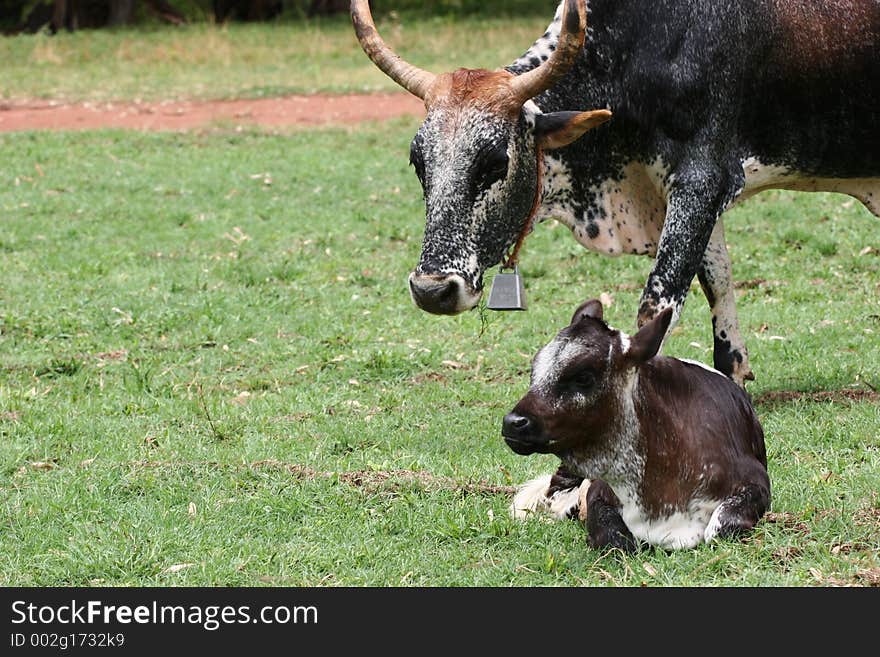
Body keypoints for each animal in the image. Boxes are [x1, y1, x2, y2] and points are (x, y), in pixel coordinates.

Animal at [350, 0, 880, 384]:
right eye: (418, 163)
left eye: (495, 162)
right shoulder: (683, 193)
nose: (432, 289)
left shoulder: (702, 179)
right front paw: (733, 369)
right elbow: (718, 278)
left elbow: (658, 304)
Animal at [502, 300, 768, 552]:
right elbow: (614, 539)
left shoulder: (757, 482)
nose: (513, 422)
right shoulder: (599, 489)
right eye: (534, 371)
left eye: (584, 377)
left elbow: (720, 529)